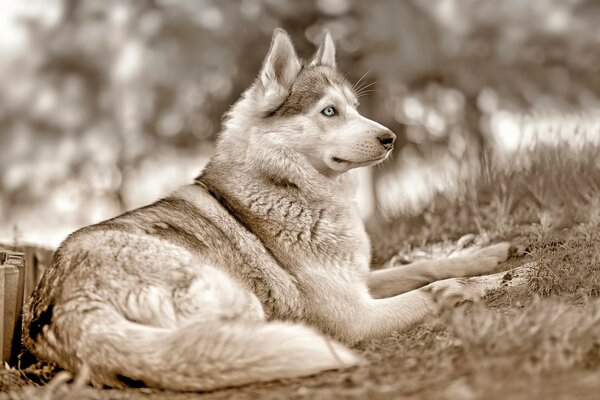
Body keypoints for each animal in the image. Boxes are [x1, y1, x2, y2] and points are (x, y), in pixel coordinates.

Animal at [22, 28, 510, 390]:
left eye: (355, 108)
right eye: (329, 111)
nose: (390, 137)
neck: (290, 185)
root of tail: (64, 306)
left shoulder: (358, 282)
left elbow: (423, 266)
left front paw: (487, 254)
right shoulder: (355, 316)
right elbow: (433, 288)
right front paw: (491, 281)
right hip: (236, 302)